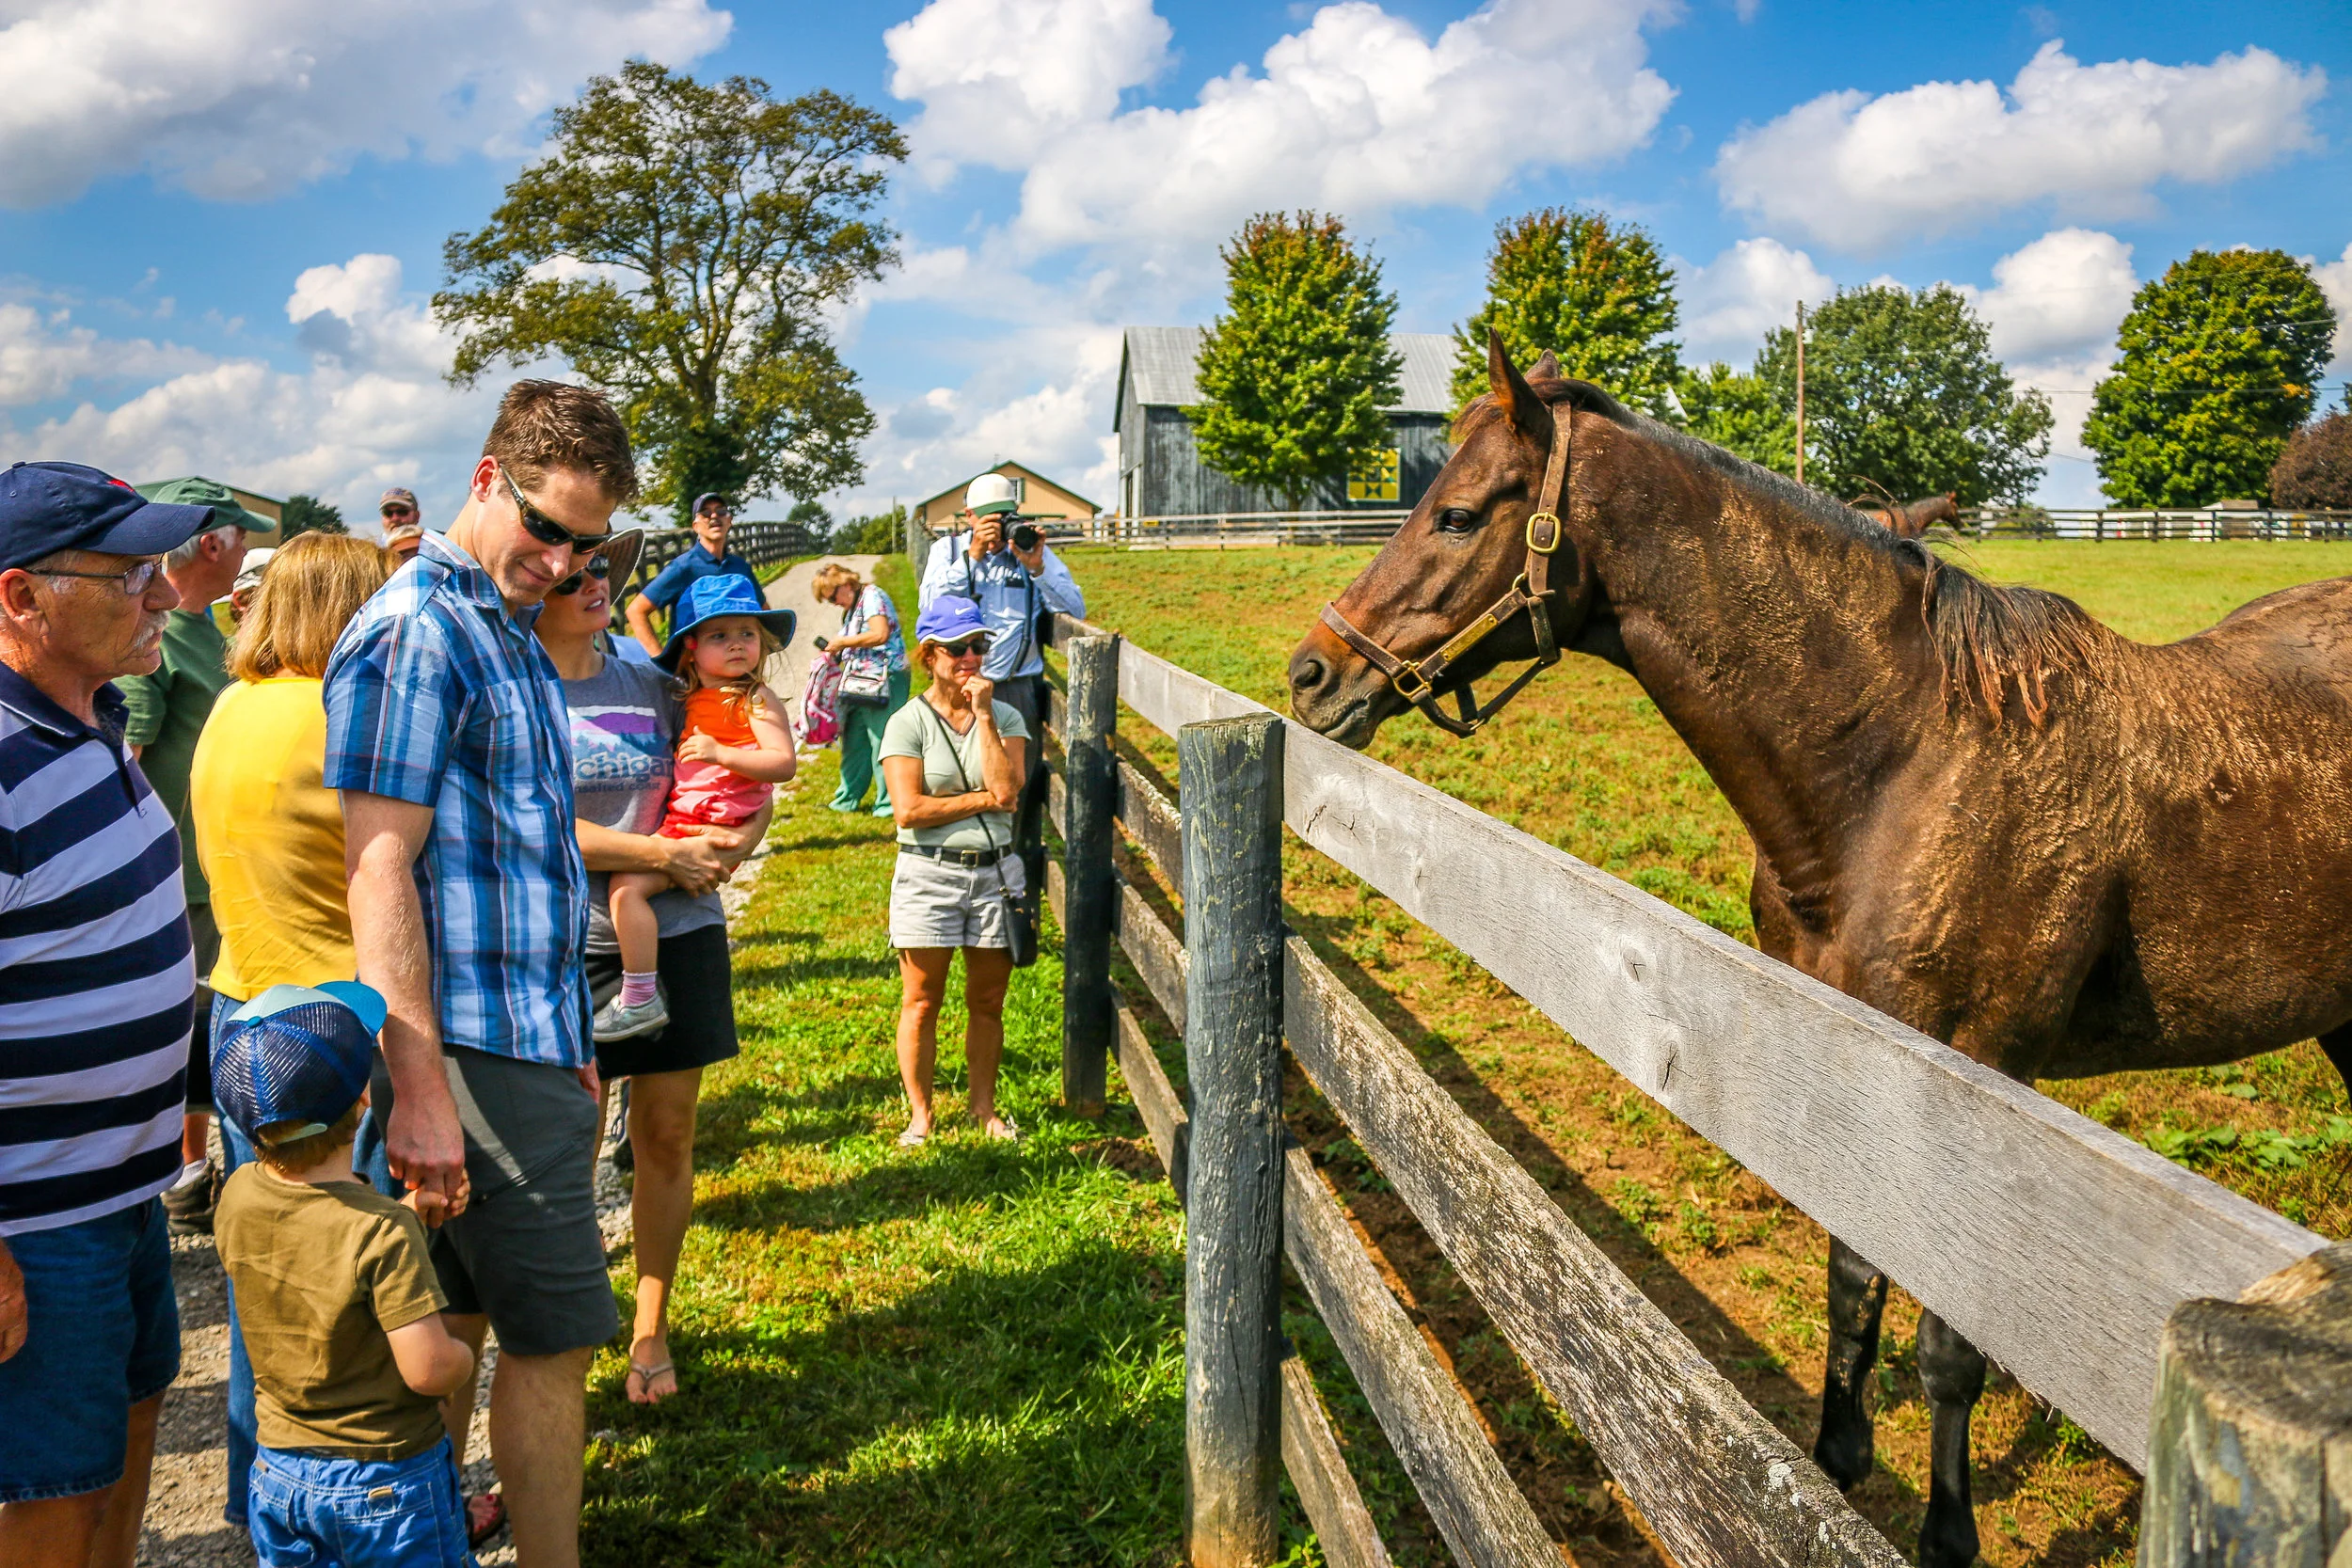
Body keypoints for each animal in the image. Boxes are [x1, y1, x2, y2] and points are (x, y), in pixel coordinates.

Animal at [1287, 336, 2352, 1568]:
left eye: (1458, 516)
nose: (1312, 673)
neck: (1905, 762)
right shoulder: (1851, 1065)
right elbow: (1851, 1281)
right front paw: (1834, 1458)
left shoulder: (1980, 1078)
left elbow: (1947, 1342)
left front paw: (1946, 1532)